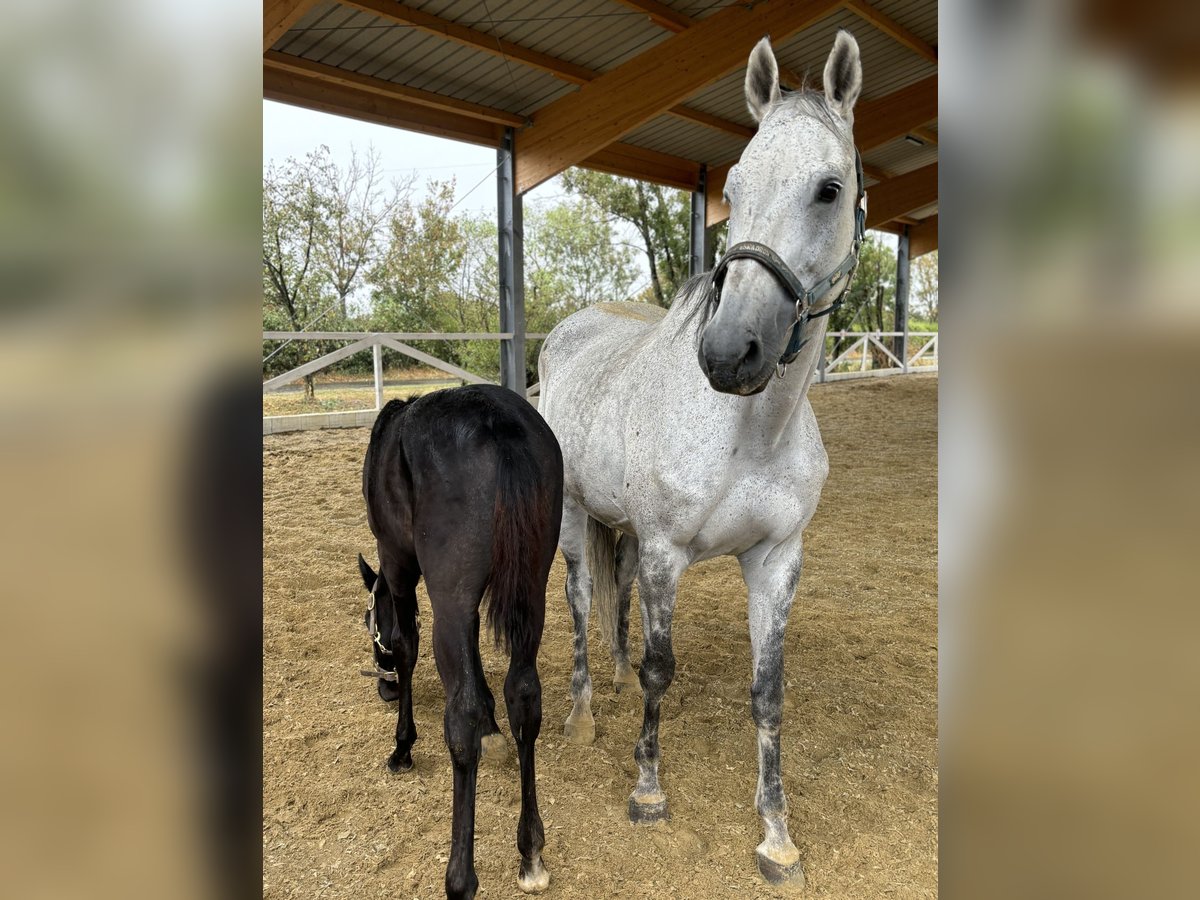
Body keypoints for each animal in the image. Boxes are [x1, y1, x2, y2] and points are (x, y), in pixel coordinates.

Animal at [355, 388, 561, 900]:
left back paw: (460, 878)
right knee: (525, 696)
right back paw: (530, 852)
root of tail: (498, 423)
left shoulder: (399, 565)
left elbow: (405, 644)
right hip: (532, 593)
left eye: (367, 619)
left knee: (460, 715)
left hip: (447, 592)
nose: (384, 689)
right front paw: (493, 730)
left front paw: (403, 747)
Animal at [540, 33, 868, 888]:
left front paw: (777, 834)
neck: (749, 429)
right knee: (583, 603)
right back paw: (584, 715)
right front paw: (647, 790)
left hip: (618, 529)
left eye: (829, 189)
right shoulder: (666, 552)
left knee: (615, 600)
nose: (727, 353)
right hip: (574, 518)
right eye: (736, 184)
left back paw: (615, 682)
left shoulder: (776, 560)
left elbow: (768, 692)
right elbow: (665, 668)